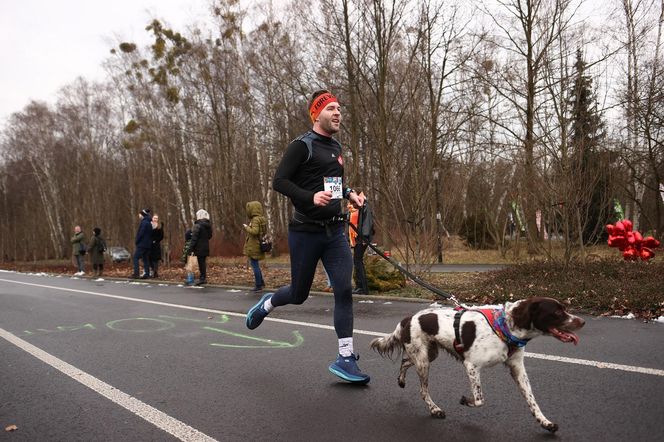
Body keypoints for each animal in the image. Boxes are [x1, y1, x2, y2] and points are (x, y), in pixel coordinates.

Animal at [370, 296, 584, 432]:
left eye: (564, 309)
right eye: (557, 312)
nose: (582, 322)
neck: (505, 326)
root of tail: (409, 318)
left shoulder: (518, 369)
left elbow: (533, 401)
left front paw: (545, 422)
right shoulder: (471, 365)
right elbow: (480, 399)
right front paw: (466, 400)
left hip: (429, 354)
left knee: (406, 361)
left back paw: (401, 380)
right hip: (423, 361)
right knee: (423, 390)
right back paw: (434, 409)